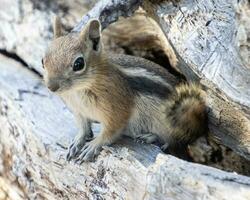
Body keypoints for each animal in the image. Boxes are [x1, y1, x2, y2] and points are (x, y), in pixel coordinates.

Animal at [43, 17, 207, 162]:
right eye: (43, 60)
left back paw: (150, 137)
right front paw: (78, 141)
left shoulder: (117, 111)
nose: (51, 87)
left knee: (173, 141)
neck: (77, 91)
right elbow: (83, 128)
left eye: (78, 64)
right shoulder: (78, 111)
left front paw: (93, 145)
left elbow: (110, 132)